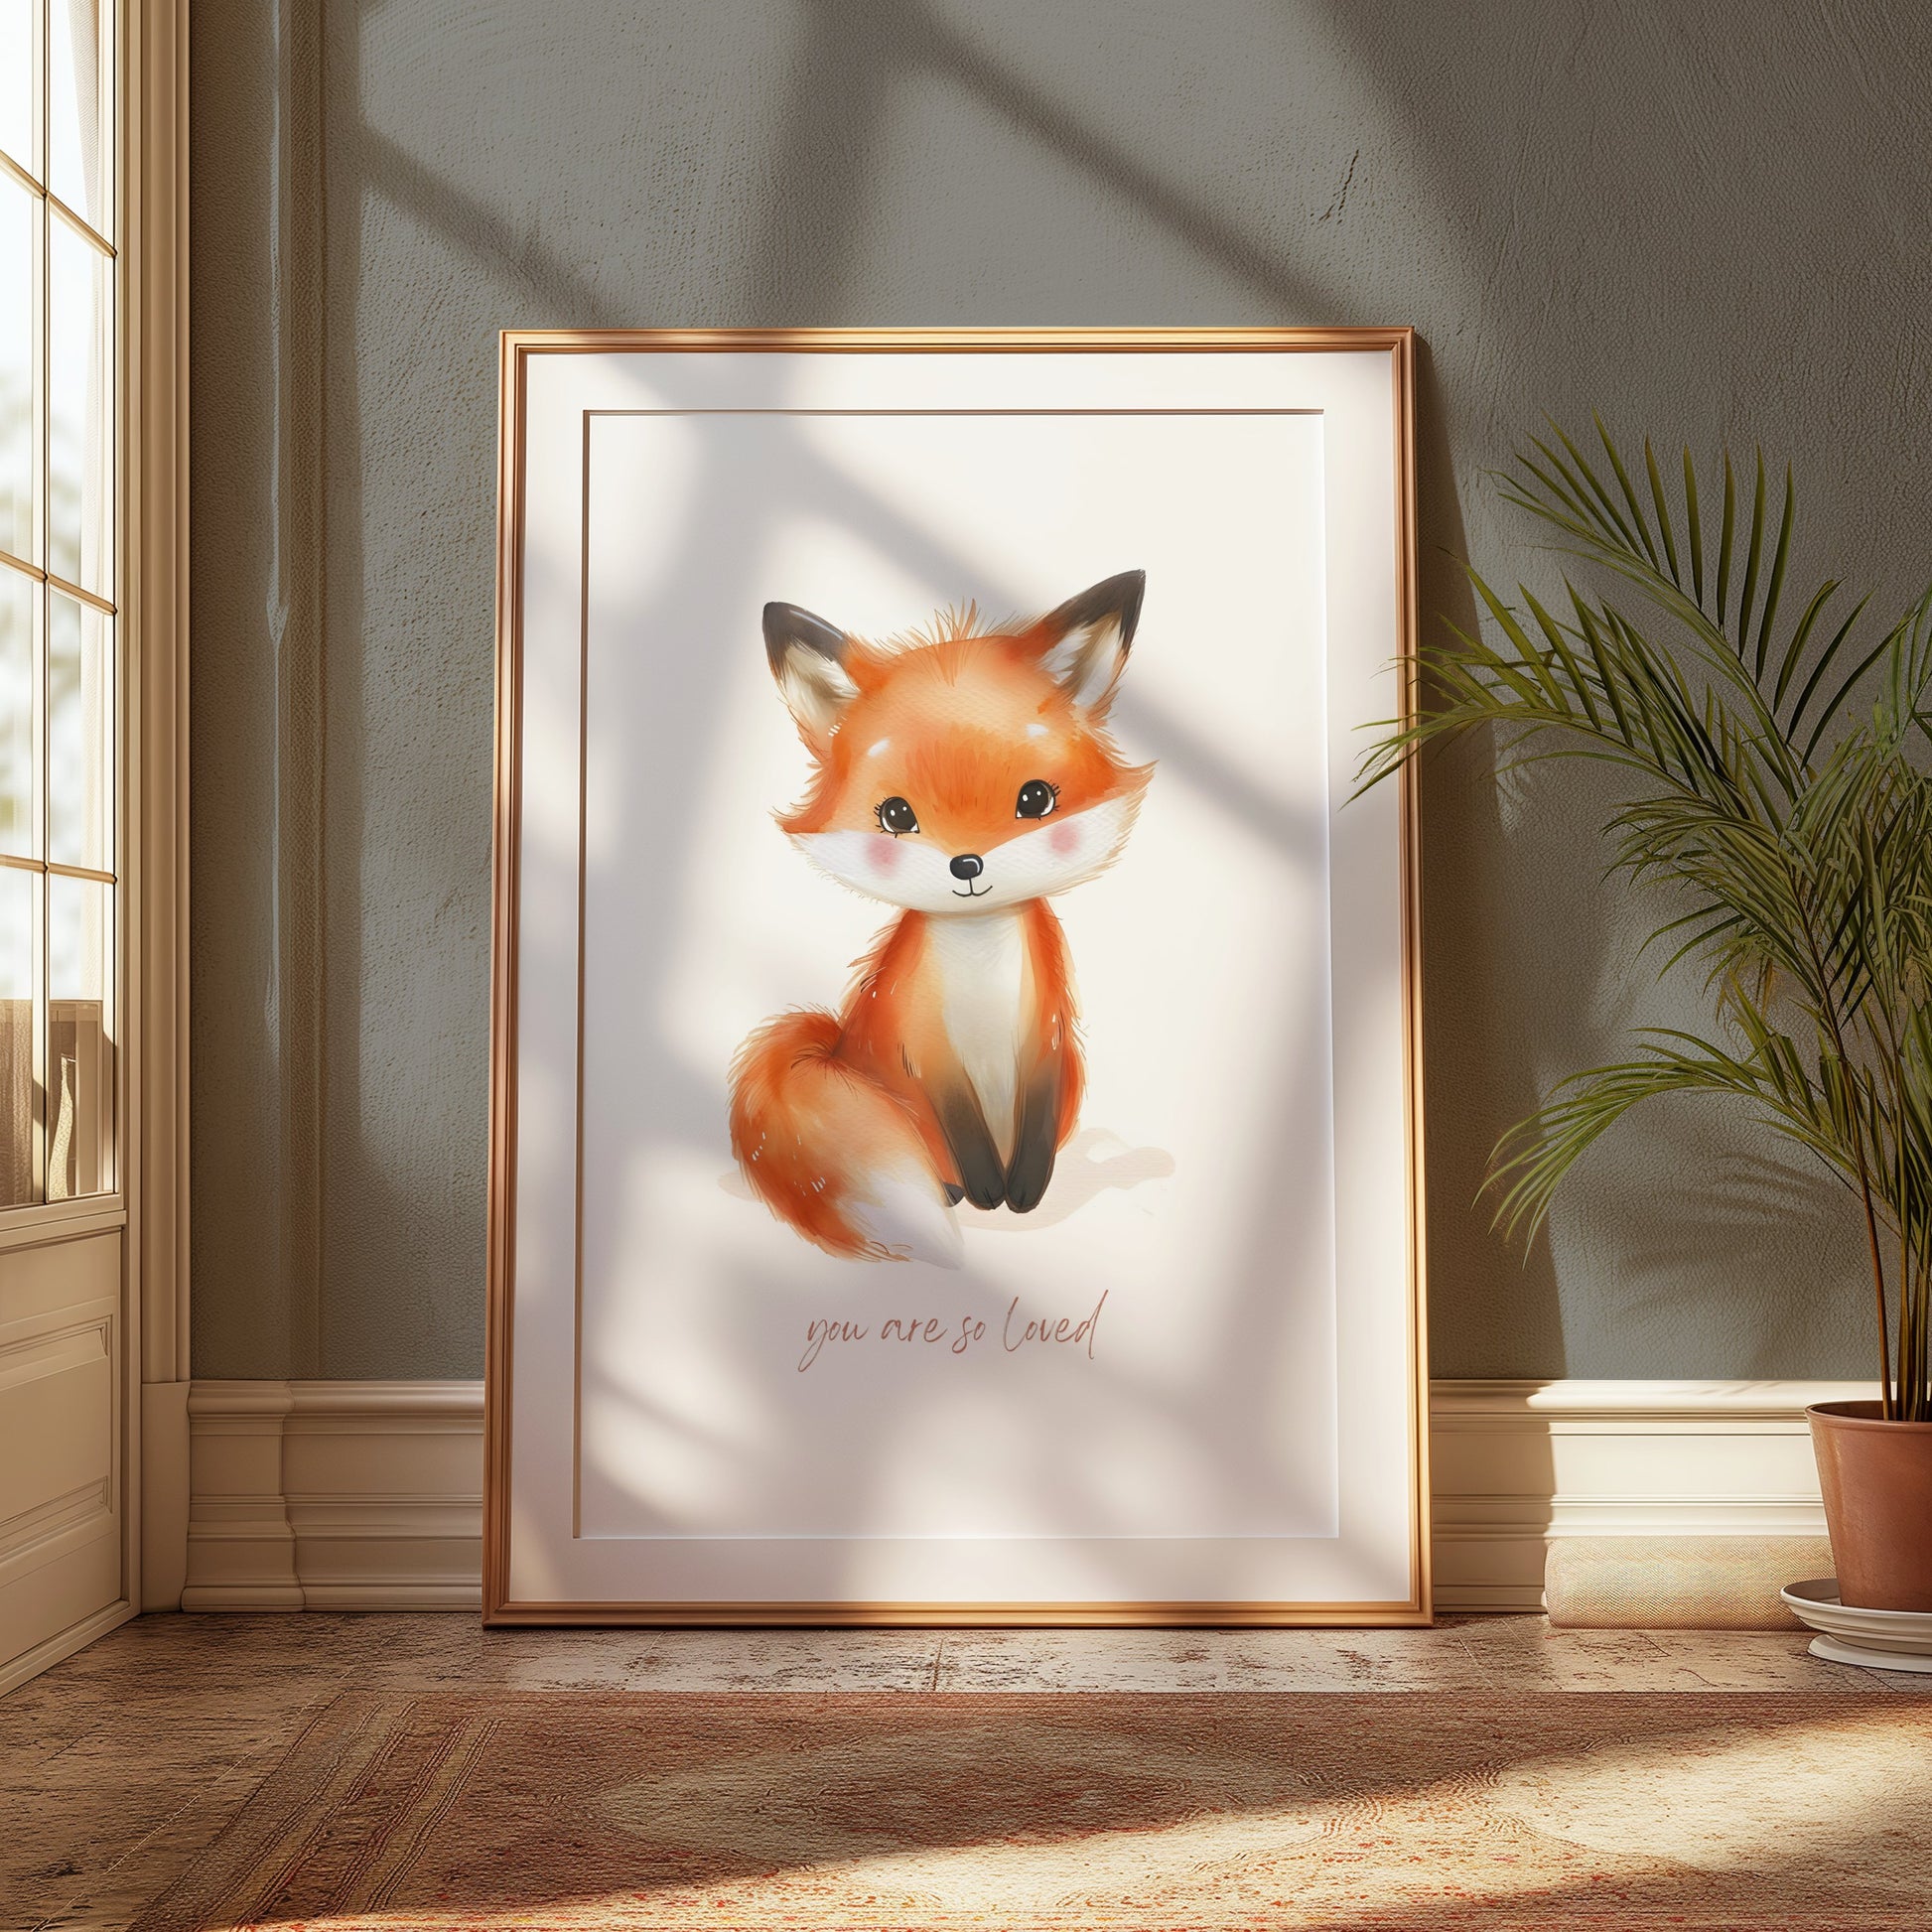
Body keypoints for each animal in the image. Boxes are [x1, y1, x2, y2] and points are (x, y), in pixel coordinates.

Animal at [728, 570, 1154, 1267]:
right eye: (897, 816)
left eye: (1035, 800)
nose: (966, 865)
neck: (980, 969)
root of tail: (836, 1047)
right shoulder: (926, 1053)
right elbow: (965, 1136)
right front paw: (988, 1194)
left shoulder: (1045, 1038)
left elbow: (1036, 1133)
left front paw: (1026, 1192)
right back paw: (953, 1191)